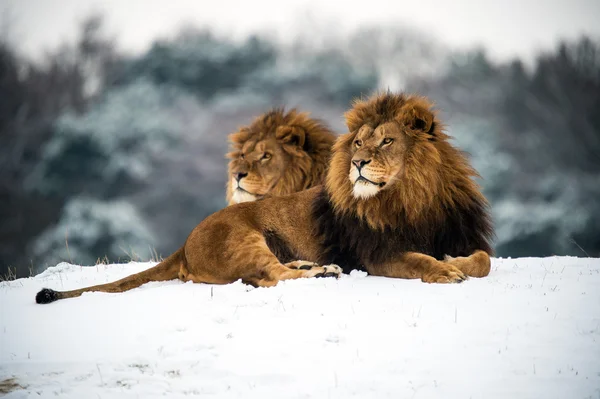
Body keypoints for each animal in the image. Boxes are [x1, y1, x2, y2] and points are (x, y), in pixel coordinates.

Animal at [36, 93, 492, 306]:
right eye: (359, 142)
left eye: (387, 141)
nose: (357, 162)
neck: (413, 196)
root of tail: (184, 244)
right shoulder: (378, 254)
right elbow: (419, 261)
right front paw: (445, 271)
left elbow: (484, 260)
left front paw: (454, 260)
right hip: (243, 237)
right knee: (270, 276)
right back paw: (321, 273)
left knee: (267, 274)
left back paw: (313, 266)